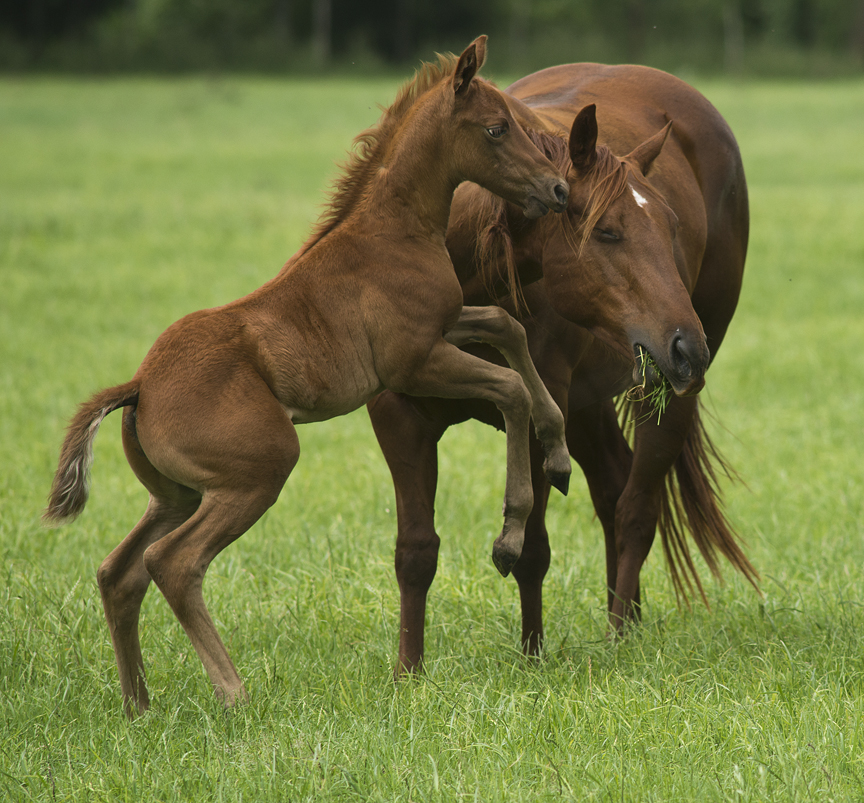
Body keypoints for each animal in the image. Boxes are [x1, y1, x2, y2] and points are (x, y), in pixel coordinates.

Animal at [43, 37, 576, 717]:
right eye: (496, 128)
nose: (557, 189)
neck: (395, 230)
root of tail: (139, 386)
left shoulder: (448, 325)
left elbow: (508, 328)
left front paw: (558, 457)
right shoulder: (415, 361)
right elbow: (509, 388)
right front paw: (508, 537)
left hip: (179, 492)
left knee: (119, 571)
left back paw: (139, 705)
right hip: (259, 471)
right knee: (174, 564)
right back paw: (235, 694)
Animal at [367, 63, 759, 674]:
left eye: (672, 228)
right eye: (606, 230)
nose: (688, 348)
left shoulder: (537, 420)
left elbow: (531, 550)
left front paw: (532, 659)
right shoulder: (399, 418)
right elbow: (415, 552)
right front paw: (409, 673)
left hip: (663, 395)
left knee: (636, 508)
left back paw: (620, 638)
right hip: (589, 405)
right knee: (614, 490)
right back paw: (629, 623)